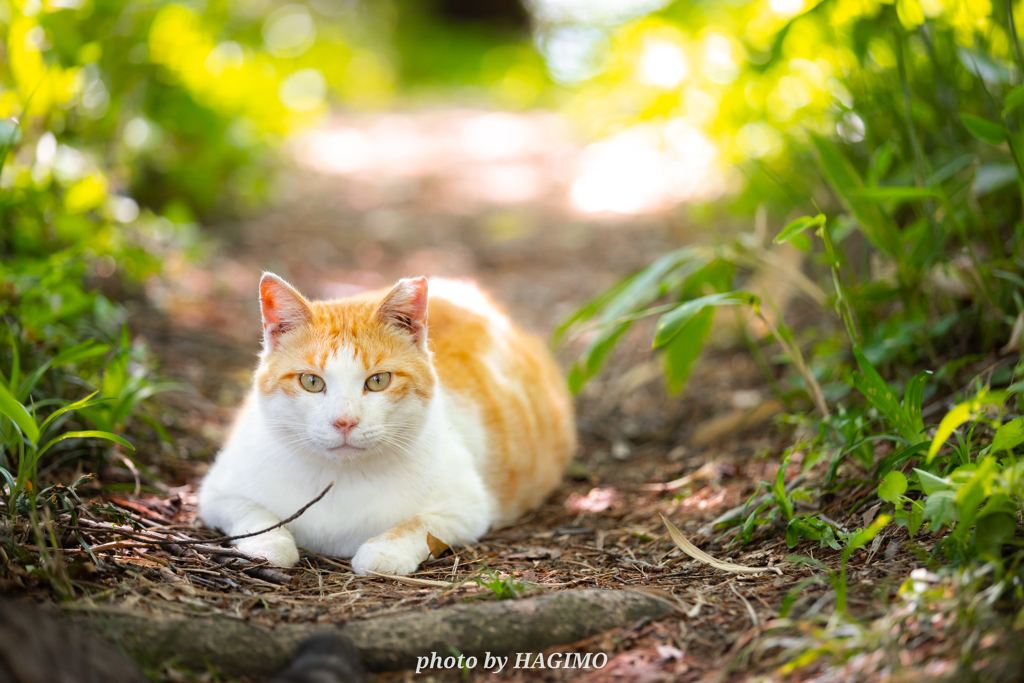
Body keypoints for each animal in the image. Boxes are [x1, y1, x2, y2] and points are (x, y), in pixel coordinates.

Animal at [193, 272, 577, 577]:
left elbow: (418, 525)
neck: (340, 479)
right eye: (311, 382)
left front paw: (383, 551)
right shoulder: (216, 493)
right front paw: (270, 544)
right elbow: (255, 515)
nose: (344, 421)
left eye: (378, 381)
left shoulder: (467, 508)